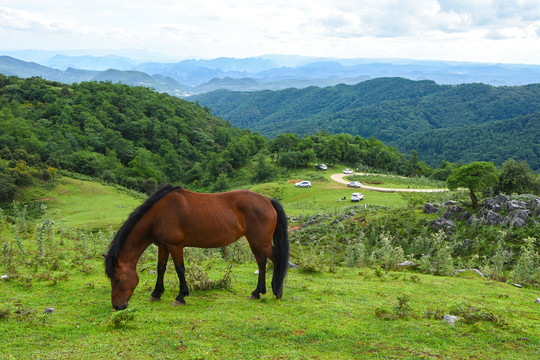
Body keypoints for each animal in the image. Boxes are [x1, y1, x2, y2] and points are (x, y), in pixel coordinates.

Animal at [106, 184, 292, 310]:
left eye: (117, 279)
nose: (117, 306)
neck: (159, 214)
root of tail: (268, 200)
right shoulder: (163, 246)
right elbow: (161, 268)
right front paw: (156, 293)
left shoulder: (175, 246)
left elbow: (180, 269)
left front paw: (181, 296)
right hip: (255, 242)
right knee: (262, 263)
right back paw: (257, 292)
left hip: (261, 242)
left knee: (277, 260)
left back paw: (277, 291)